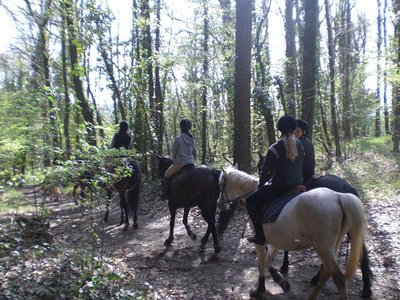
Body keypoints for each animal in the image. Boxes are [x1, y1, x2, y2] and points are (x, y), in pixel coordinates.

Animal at [219, 168, 368, 298]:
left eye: (221, 184)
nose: (220, 203)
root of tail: (338, 196)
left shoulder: (260, 242)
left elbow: (261, 263)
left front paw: (260, 289)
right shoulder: (276, 241)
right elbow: (267, 261)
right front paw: (282, 282)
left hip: (323, 247)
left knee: (338, 277)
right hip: (333, 246)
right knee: (327, 273)